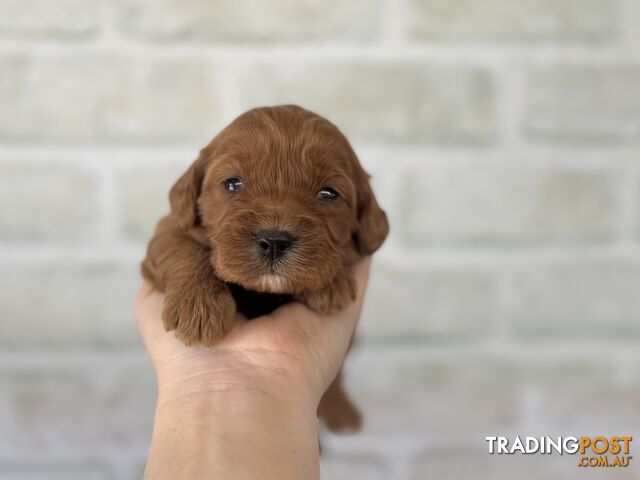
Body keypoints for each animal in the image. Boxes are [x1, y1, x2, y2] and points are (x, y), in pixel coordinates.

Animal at [142, 105, 388, 432]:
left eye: (329, 193)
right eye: (232, 183)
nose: (274, 241)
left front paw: (330, 283)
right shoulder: (168, 227)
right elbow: (179, 247)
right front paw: (197, 306)